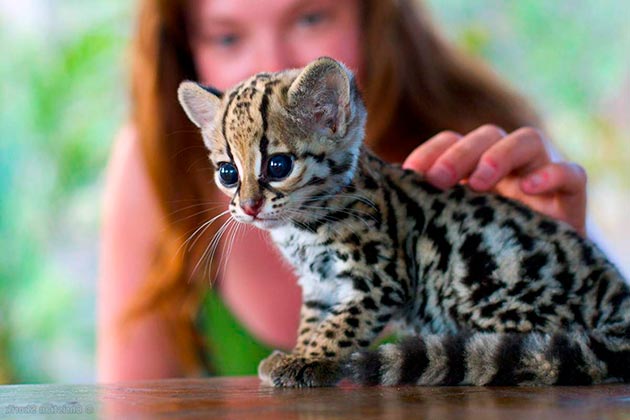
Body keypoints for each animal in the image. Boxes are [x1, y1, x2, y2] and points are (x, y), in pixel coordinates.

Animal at [177, 55, 630, 388]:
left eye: (277, 165)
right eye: (227, 173)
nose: (249, 207)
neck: (300, 229)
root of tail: (618, 299)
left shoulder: (380, 279)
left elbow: (341, 324)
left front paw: (312, 359)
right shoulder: (319, 285)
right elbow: (313, 320)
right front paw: (301, 351)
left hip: (479, 282)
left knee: (540, 346)